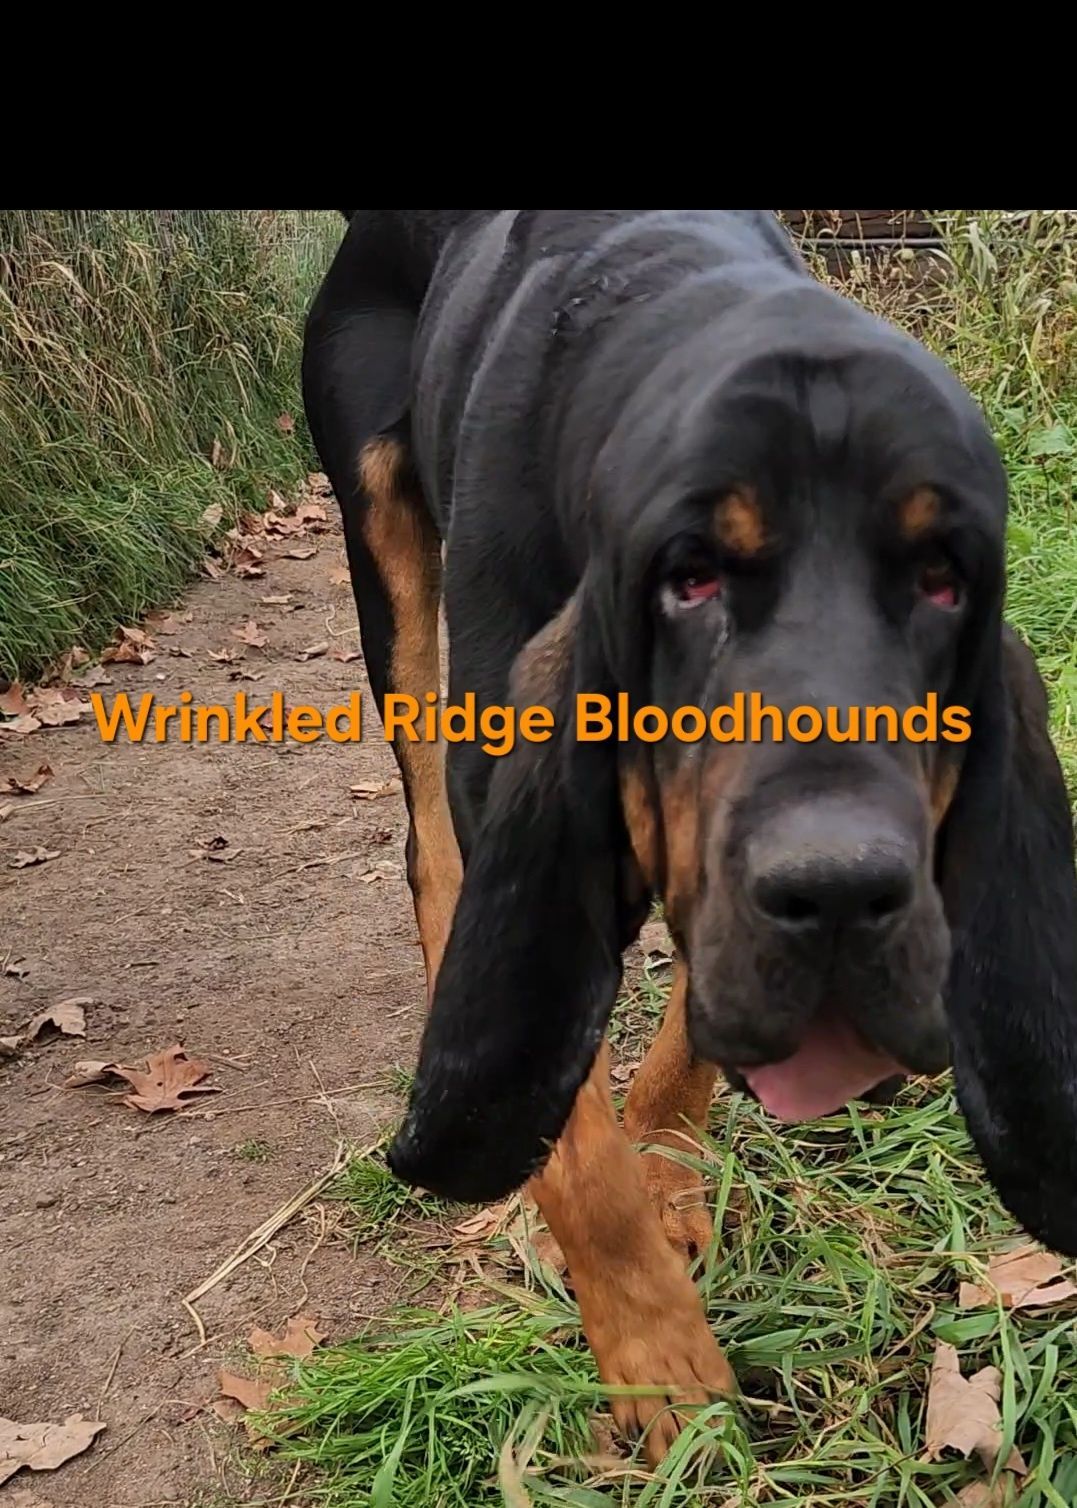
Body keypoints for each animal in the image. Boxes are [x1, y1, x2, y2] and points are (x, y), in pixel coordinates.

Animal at [303, 210, 1077, 1462]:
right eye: (690, 577)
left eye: (943, 578)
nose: (843, 891)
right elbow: (578, 1150)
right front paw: (658, 1354)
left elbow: (688, 1037)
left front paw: (668, 1173)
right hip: (383, 549)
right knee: (427, 834)